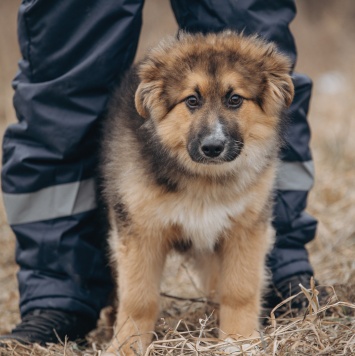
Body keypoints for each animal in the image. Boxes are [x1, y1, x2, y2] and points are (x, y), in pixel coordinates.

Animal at [100, 31, 294, 356]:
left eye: (234, 99)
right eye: (192, 100)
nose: (213, 147)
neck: (204, 181)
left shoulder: (246, 228)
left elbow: (239, 289)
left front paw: (239, 340)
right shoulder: (140, 231)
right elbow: (139, 298)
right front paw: (126, 345)